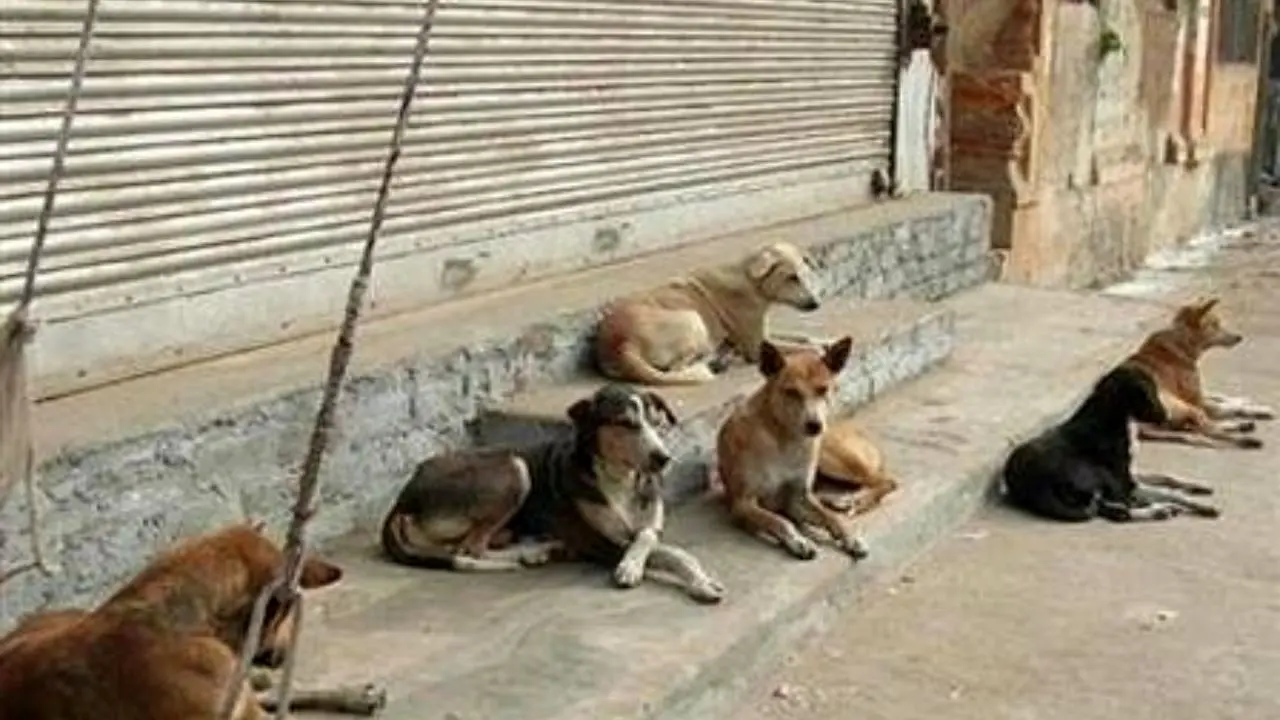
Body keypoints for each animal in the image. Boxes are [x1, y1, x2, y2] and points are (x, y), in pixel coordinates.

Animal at [373, 384, 727, 602]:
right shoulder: (601, 542)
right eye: (625, 424)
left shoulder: (650, 525)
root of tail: (404, 495)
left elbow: (652, 538)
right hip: (514, 467)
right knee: (470, 548)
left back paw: (539, 548)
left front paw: (696, 578)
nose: (664, 458)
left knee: (471, 545)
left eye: (656, 423)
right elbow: (671, 553)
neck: (621, 479)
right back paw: (528, 554)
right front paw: (632, 568)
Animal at [596, 240, 824, 384]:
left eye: (805, 275)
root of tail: (623, 344)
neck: (750, 280)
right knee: (677, 368)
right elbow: (807, 348)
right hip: (692, 319)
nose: (816, 304)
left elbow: (805, 338)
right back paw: (717, 361)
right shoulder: (755, 346)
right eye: (791, 278)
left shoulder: (764, 334)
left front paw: (824, 340)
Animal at [998, 363, 1218, 520]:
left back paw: (1159, 509)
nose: (1168, 417)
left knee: (1112, 509)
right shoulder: (1124, 482)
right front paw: (1201, 505)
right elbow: (1168, 491)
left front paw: (1194, 485)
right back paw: (1159, 509)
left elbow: (1166, 477)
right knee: (1119, 508)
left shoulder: (1129, 473)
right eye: (1149, 391)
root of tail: (1033, 487)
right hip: (1097, 477)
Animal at [1126, 295, 1274, 448]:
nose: (1239, 337)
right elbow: (1226, 406)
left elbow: (1221, 396)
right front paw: (1260, 410)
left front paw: (1245, 401)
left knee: (1198, 431)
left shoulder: (1198, 393)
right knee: (1210, 428)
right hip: (1186, 407)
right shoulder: (1197, 400)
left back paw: (1243, 426)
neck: (1181, 342)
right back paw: (1245, 433)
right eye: (1215, 325)